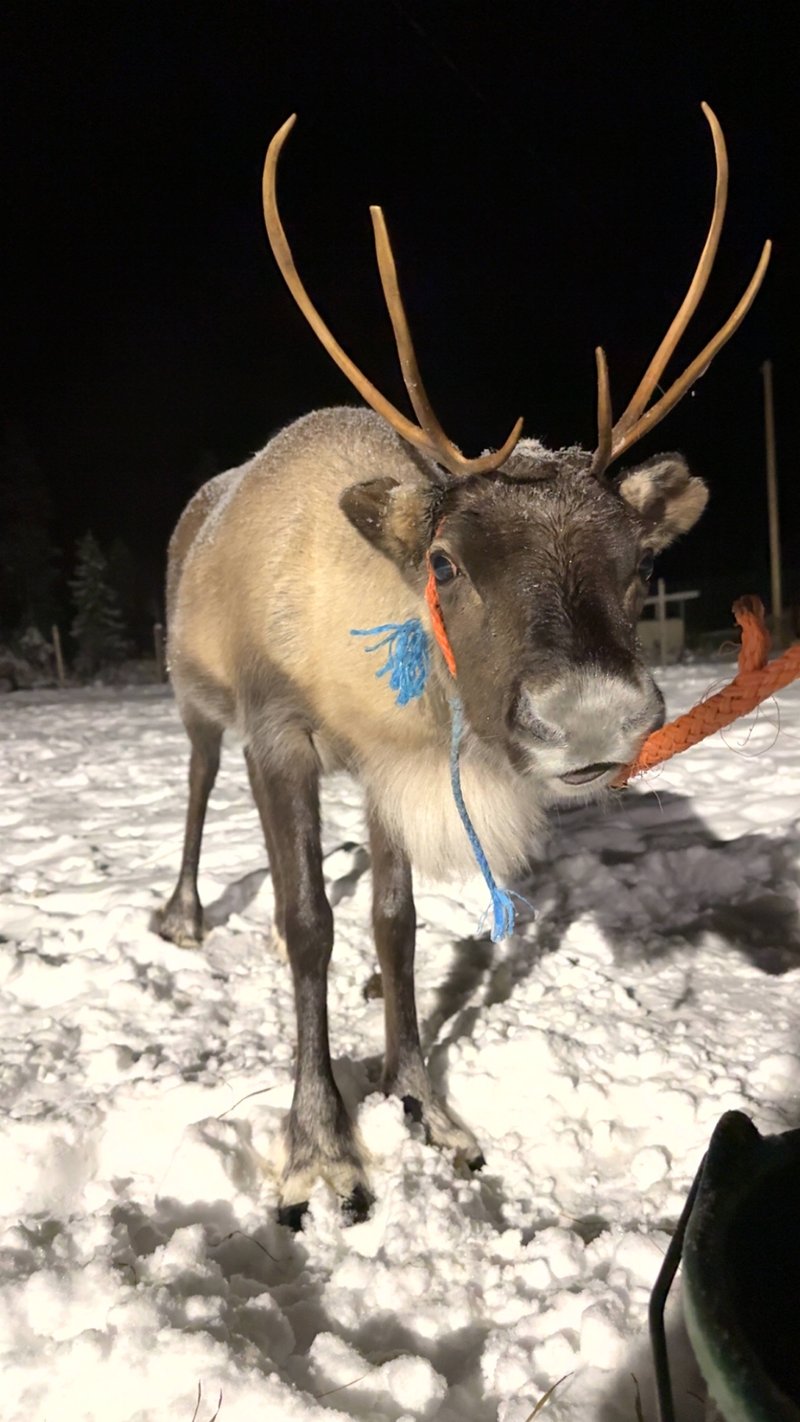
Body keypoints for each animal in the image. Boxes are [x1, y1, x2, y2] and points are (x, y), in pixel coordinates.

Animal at [160, 105, 769, 1227]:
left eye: (638, 565)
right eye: (444, 561)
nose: (595, 719)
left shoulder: (388, 765)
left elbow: (392, 922)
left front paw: (419, 1097)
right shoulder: (281, 735)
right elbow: (307, 920)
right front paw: (320, 1147)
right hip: (194, 700)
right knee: (194, 781)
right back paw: (182, 916)